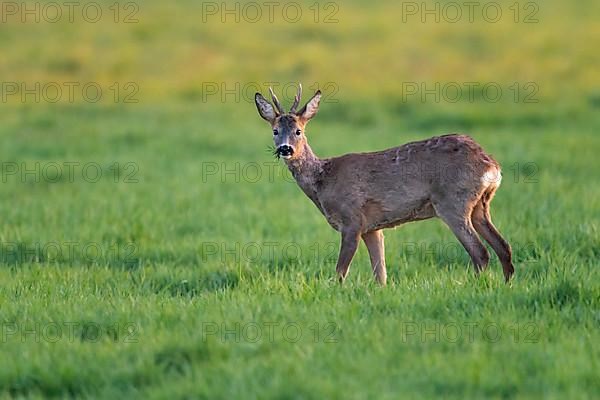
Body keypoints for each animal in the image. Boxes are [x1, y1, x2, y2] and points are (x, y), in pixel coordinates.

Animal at [255, 84, 512, 284]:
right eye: (275, 131)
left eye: (298, 131)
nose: (285, 149)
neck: (323, 181)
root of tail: (491, 166)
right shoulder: (373, 228)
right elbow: (381, 274)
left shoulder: (352, 220)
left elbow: (340, 272)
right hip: (480, 204)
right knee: (503, 247)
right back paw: (506, 284)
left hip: (453, 202)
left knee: (480, 252)